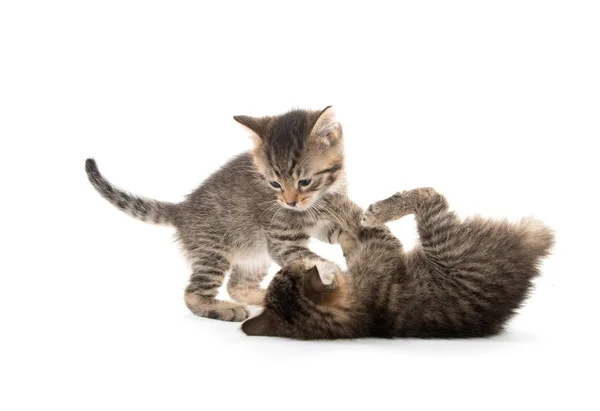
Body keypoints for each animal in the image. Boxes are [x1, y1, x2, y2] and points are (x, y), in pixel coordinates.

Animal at [84, 108, 360, 324]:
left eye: (304, 181)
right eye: (274, 184)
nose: (289, 201)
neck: (321, 198)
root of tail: (182, 210)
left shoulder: (322, 224)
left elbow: (340, 231)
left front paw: (353, 241)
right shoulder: (282, 241)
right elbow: (314, 258)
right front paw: (335, 275)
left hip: (254, 256)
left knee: (237, 285)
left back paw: (266, 297)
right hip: (213, 252)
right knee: (193, 293)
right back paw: (225, 309)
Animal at [241, 188, 552, 340]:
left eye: (283, 272)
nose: (286, 262)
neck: (363, 317)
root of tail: (530, 249)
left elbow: (352, 232)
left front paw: (338, 222)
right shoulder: (385, 247)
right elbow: (359, 223)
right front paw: (337, 207)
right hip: (443, 240)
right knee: (431, 196)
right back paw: (380, 209)